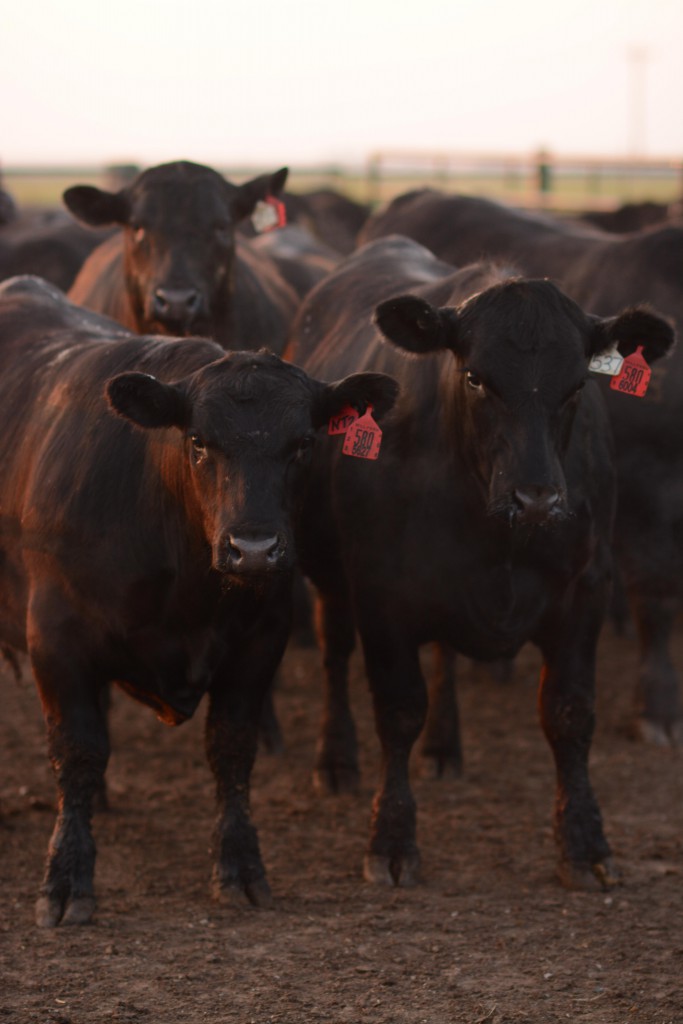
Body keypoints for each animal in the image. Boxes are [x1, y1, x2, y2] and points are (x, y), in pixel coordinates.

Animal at [0, 274, 397, 929]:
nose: (254, 548)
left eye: (303, 443)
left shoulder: (260, 639)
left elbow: (231, 752)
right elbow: (77, 751)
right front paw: (66, 876)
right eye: (197, 441)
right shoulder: (56, 640)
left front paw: (240, 865)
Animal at [286, 235, 675, 892]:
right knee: (335, 654)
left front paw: (585, 842)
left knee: (445, 658)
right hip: (330, 580)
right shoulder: (381, 596)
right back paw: (336, 759)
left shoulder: (586, 590)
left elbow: (570, 713)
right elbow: (398, 712)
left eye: (578, 384)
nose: (537, 497)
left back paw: (446, 748)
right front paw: (391, 838)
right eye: (474, 377)